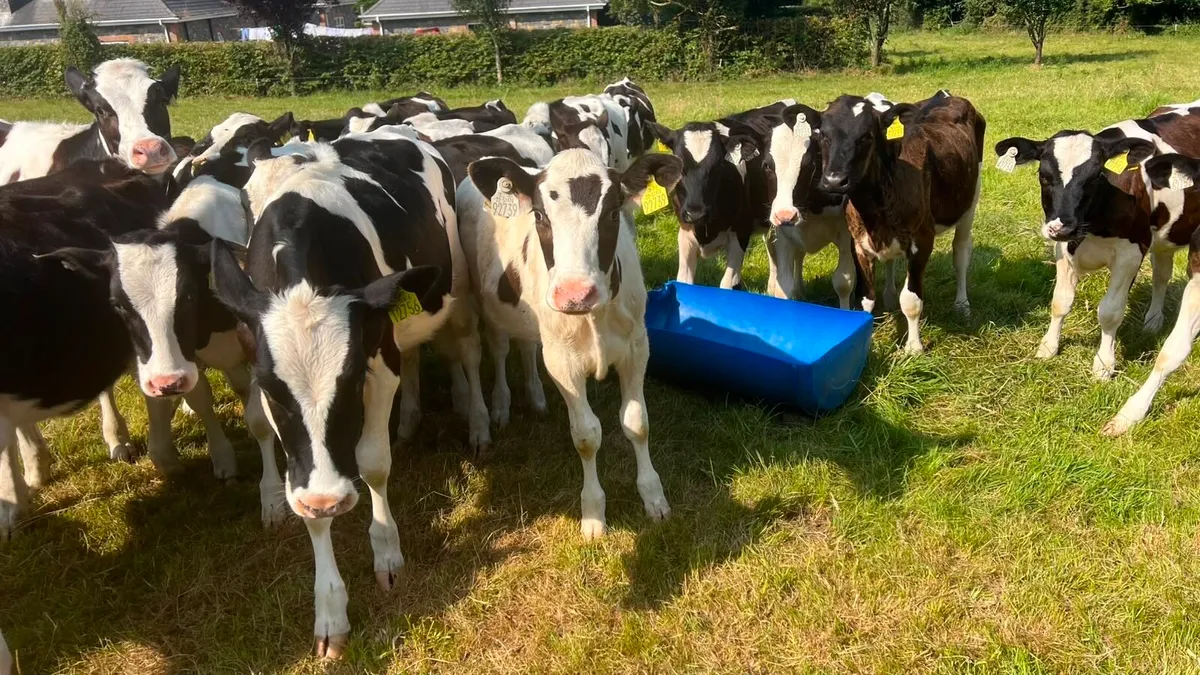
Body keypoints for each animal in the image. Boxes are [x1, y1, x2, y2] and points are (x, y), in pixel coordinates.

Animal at [209, 134, 478, 656]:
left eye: (351, 381)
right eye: (272, 389)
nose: (328, 500)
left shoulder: (379, 360)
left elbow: (373, 463)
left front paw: (387, 552)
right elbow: (302, 495)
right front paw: (330, 612)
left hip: (451, 287)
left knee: (459, 349)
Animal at [458, 148, 680, 539]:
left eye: (612, 213)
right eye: (539, 215)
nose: (575, 294)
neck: (594, 314)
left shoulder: (637, 346)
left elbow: (637, 423)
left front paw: (653, 497)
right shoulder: (563, 363)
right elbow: (587, 436)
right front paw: (593, 513)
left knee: (526, 346)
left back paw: (535, 398)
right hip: (483, 303)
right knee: (495, 350)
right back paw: (497, 408)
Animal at [650, 101, 794, 291]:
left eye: (718, 164)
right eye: (678, 163)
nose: (696, 213)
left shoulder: (741, 232)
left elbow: (728, 284)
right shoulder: (685, 232)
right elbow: (684, 281)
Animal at [817, 92, 984, 354]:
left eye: (867, 135)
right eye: (823, 134)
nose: (834, 180)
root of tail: (945, 95)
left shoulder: (923, 240)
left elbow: (911, 300)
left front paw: (914, 347)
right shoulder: (859, 243)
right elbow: (866, 297)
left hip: (971, 200)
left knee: (961, 253)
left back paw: (962, 304)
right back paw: (889, 295)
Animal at [995, 100, 1200, 380]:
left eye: (1094, 177)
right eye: (1043, 176)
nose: (1062, 226)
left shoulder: (1130, 253)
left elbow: (1110, 312)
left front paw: (1104, 364)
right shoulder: (1063, 248)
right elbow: (1060, 302)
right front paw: (1048, 346)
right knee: (1161, 274)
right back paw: (1153, 321)